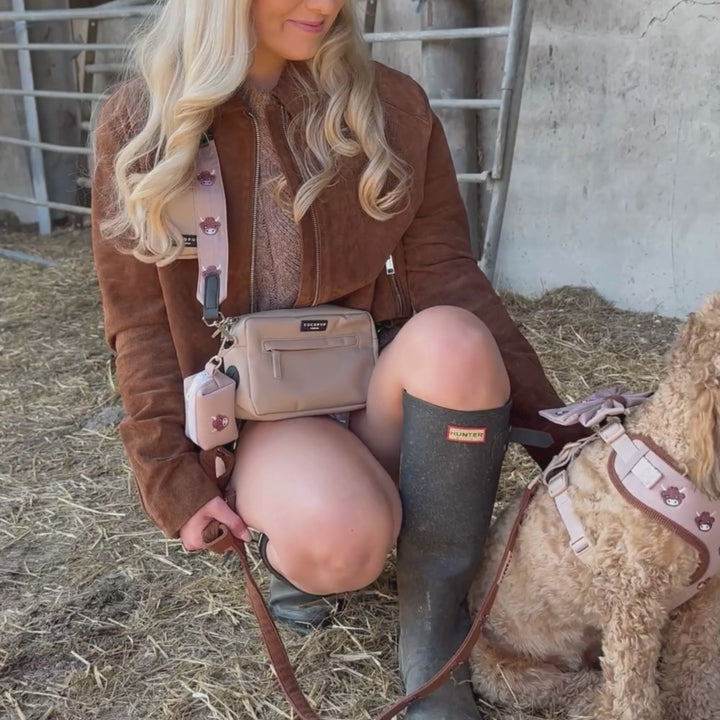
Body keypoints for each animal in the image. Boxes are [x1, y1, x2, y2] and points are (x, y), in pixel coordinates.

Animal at [468, 293, 720, 720]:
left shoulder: (703, 602)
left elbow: (698, 676)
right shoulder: (632, 607)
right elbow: (633, 698)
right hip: (504, 671)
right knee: (578, 689)